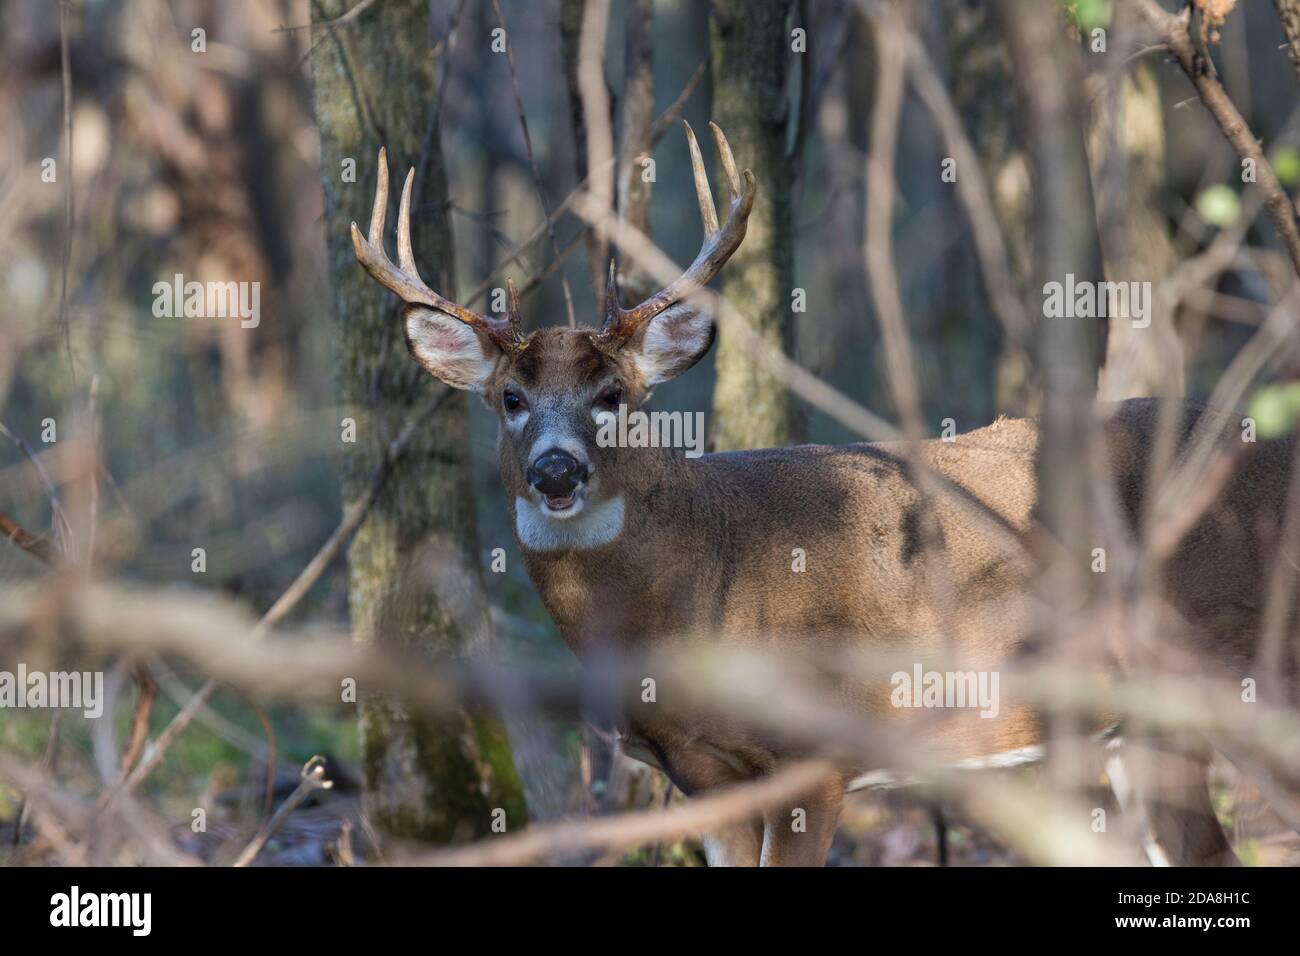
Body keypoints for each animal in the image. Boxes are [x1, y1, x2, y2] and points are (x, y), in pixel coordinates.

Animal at [350, 121, 1298, 867]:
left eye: (613, 394)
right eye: (510, 398)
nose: (556, 472)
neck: (699, 586)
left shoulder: (816, 757)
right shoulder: (703, 776)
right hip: (1142, 724)